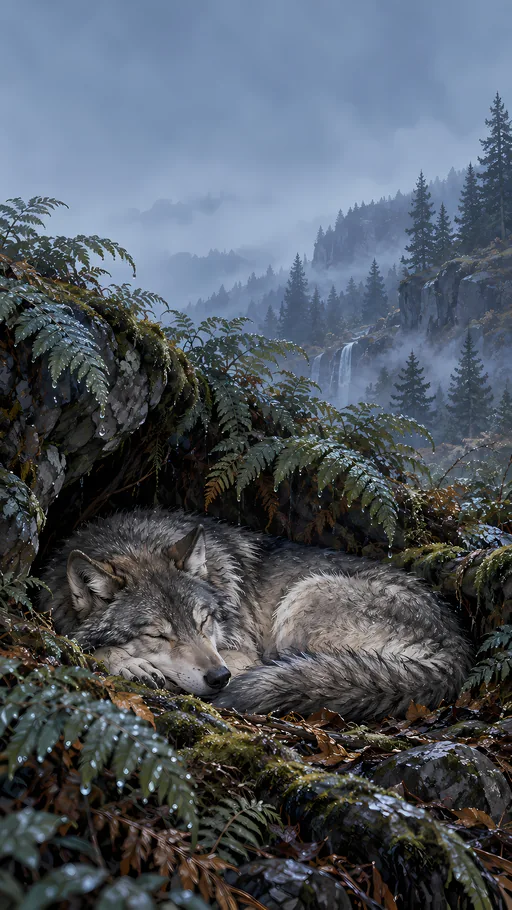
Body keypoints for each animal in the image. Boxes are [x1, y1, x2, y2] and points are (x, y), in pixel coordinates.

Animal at [39, 507, 472, 721]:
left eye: (203, 622)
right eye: (158, 635)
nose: (219, 677)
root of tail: (456, 647)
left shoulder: (241, 652)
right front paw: (126, 661)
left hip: (303, 599)